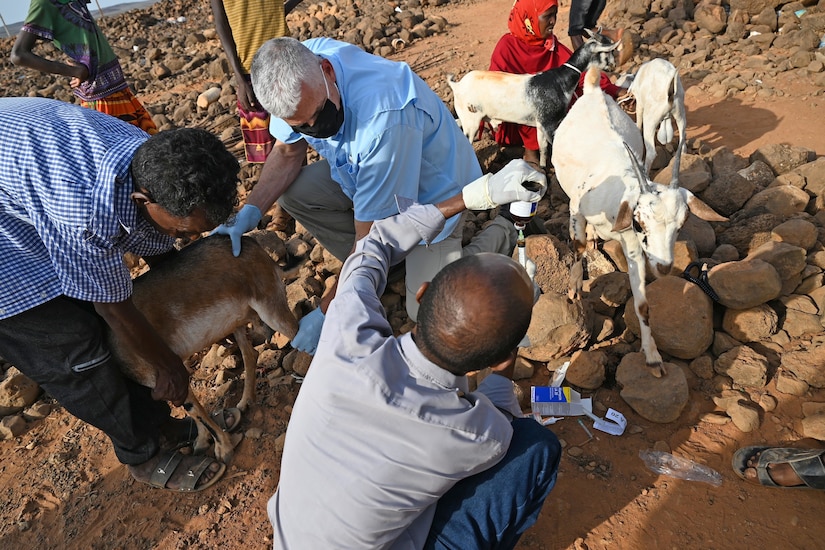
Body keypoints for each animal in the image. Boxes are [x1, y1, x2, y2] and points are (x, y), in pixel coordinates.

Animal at [444, 29, 616, 168]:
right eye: (607, 52)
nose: (613, 66)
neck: (559, 80)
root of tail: (457, 85)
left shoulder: (540, 124)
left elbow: (543, 149)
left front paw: (543, 167)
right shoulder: (549, 123)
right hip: (471, 121)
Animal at [628, 58, 684, 187]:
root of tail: (670, 94)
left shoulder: (640, 104)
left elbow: (638, 123)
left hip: (650, 121)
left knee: (651, 152)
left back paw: (646, 175)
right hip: (680, 114)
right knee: (683, 141)